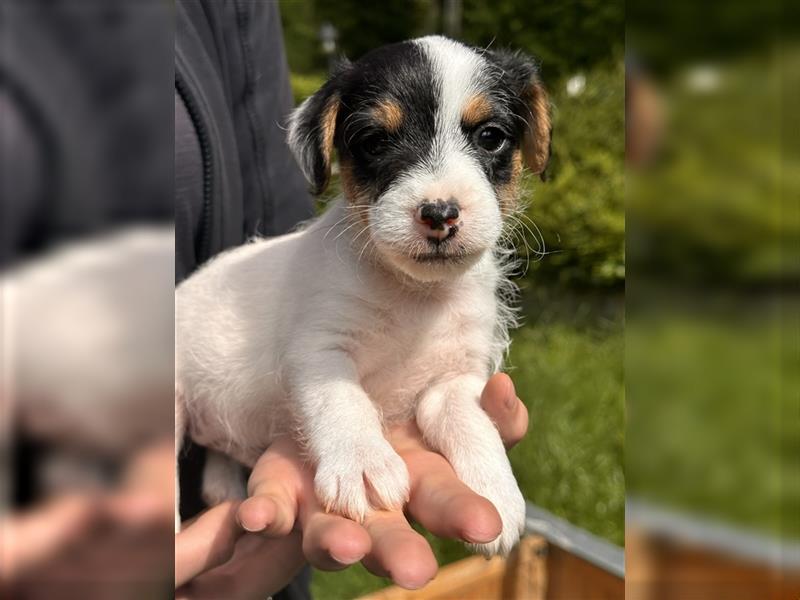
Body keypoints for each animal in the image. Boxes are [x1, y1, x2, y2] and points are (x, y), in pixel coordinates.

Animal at [175, 35, 552, 556]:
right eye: (374, 142)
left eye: (491, 136)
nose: (440, 213)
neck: (414, 295)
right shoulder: (320, 350)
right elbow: (342, 400)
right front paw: (362, 462)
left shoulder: (454, 378)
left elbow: (471, 423)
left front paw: (495, 487)